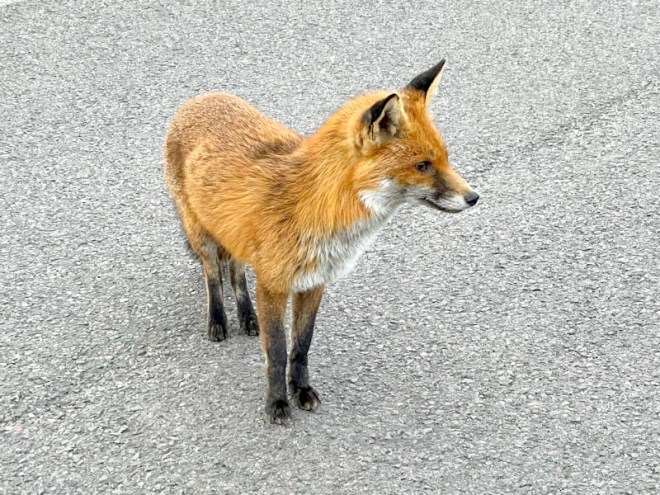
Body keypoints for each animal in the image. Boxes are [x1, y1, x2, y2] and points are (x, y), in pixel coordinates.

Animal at [164, 60, 479, 425]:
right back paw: (218, 320)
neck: (319, 206)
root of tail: (201, 98)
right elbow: (277, 351)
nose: (473, 197)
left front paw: (300, 390)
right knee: (213, 273)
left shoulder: (314, 282)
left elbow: (301, 345)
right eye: (422, 166)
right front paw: (277, 402)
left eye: (445, 159)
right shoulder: (273, 284)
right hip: (201, 234)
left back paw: (247, 317)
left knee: (236, 272)